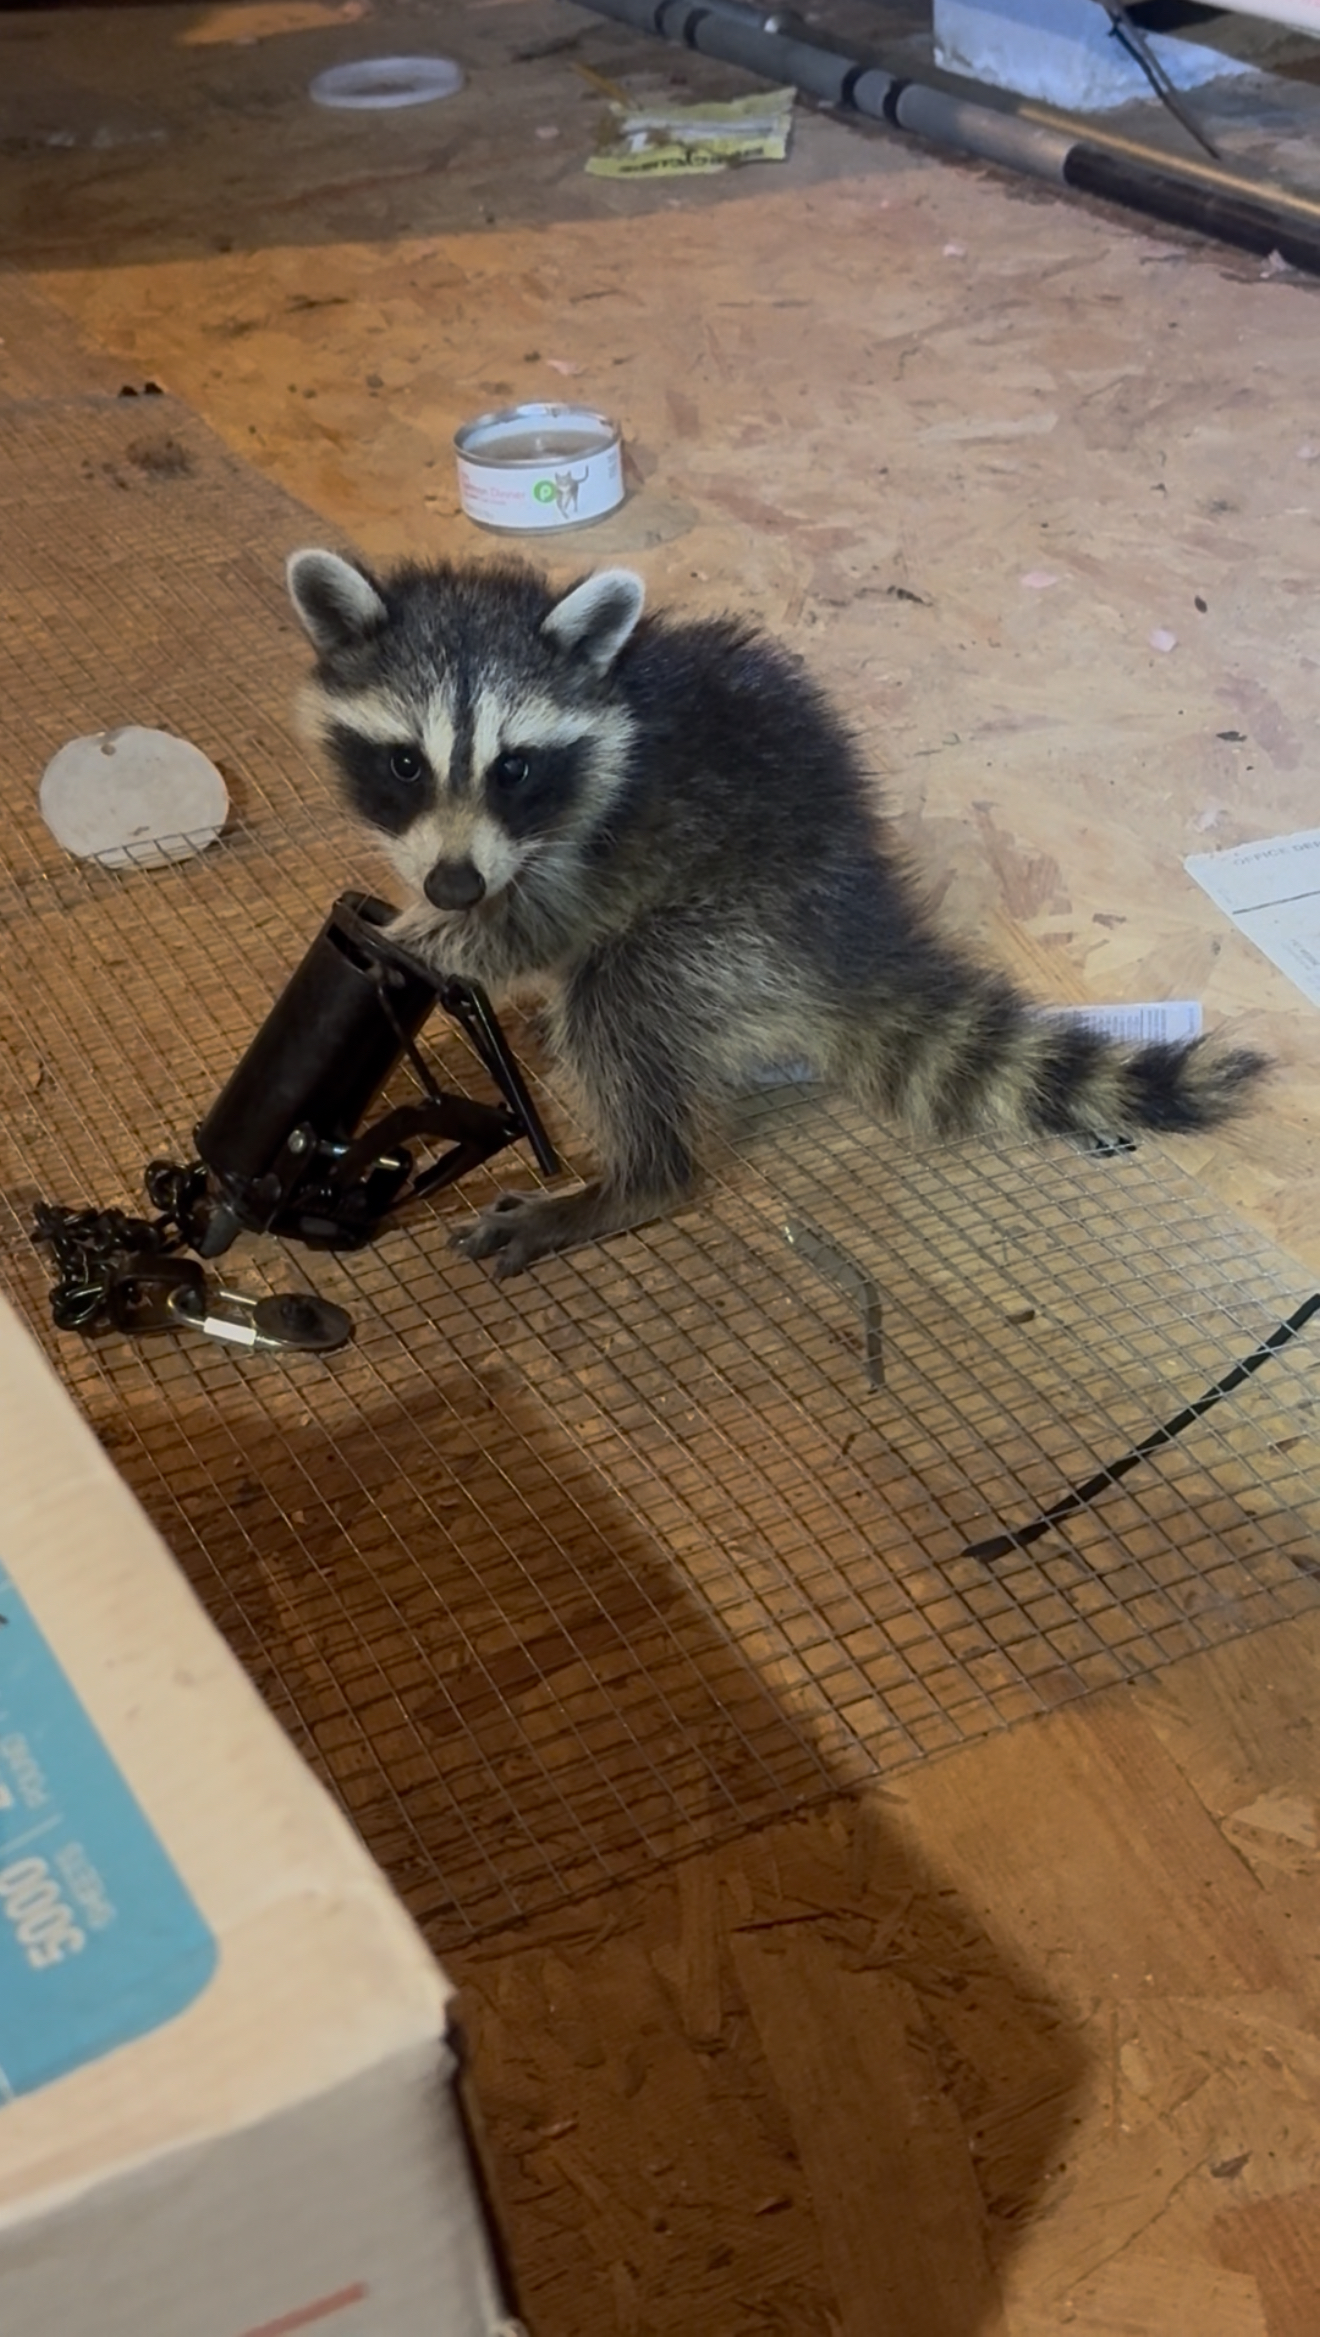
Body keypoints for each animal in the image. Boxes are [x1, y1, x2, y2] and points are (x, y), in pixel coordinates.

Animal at [286, 548, 1267, 1277]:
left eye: (513, 767)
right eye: (406, 763)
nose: (452, 887)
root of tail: (857, 927)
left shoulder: (600, 838)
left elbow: (539, 926)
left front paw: (423, 939)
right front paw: (424, 917)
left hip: (739, 927)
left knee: (621, 991)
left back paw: (637, 1179)